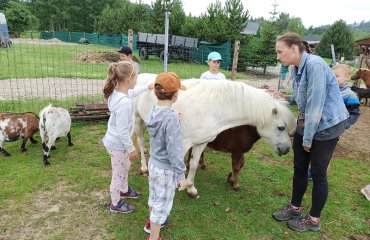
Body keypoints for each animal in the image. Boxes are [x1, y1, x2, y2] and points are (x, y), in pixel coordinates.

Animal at [133, 73, 294, 197]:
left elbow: (193, 165)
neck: (211, 108)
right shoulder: (183, 143)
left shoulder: (200, 143)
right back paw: (144, 168)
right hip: (138, 120)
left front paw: (190, 188)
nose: (286, 149)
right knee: (140, 142)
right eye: (281, 127)